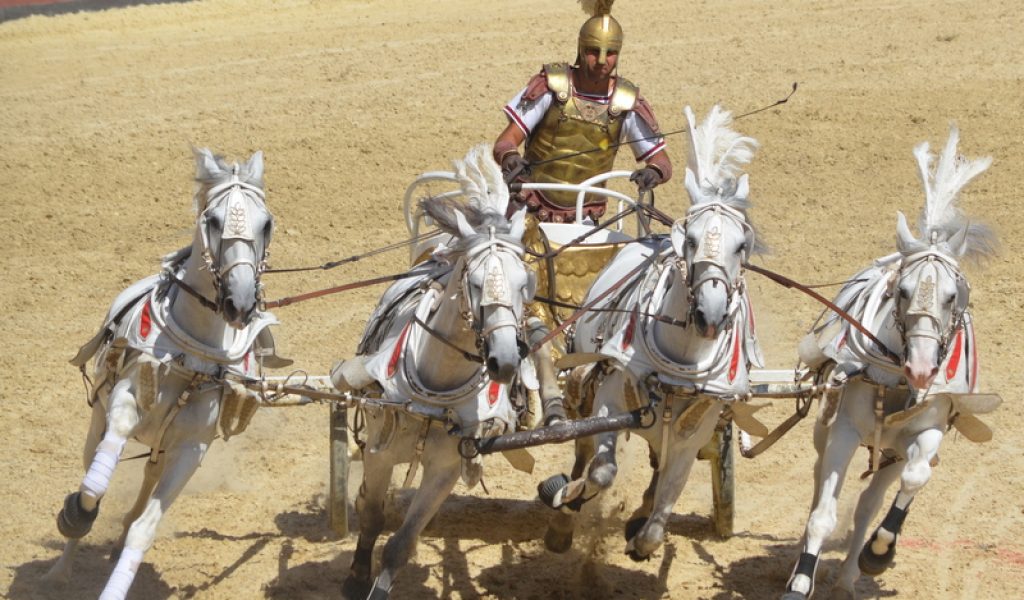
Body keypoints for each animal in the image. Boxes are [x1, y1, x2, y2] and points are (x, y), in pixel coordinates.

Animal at [41, 147, 286, 593]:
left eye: (267, 223)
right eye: (213, 220)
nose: (240, 302)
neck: (190, 358)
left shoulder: (191, 449)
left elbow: (145, 529)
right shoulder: (123, 403)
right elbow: (94, 486)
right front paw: (75, 514)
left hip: (162, 445)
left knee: (148, 477)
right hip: (96, 421)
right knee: (91, 470)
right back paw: (61, 568)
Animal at [337, 144, 536, 597]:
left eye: (525, 283)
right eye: (476, 283)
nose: (504, 361)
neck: (435, 390)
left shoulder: (445, 470)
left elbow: (401, 543)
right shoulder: (380, 450)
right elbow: (371, 513)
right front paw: (355, 576)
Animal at [536, 106, 770, 561]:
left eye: (741, 245)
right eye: (690, 239)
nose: (710, 314)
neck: (680, 361)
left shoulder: (696, 427)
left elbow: (665, 504)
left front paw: (641, 531)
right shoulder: (610, 399)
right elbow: (602, 472)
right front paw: (563, 497)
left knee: (657, 467)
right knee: (584, 450)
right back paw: (561, 523)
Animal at [782, 123, 999, 593]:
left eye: (952, 296)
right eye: (901, 291)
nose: (921, 367)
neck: (898, 382)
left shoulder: (928, 431)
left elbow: (914, 480)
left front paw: (878, 552)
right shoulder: (844, 431)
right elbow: (822, 515)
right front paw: (800, 581)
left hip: (890, 454)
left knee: (869, 501)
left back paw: (850, 576)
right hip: (828, 430)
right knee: (819, 488)